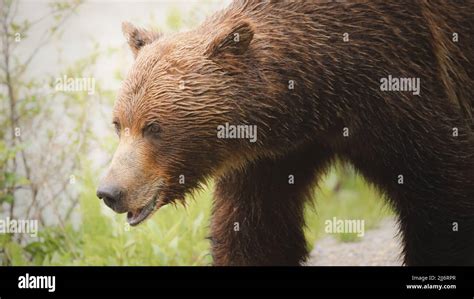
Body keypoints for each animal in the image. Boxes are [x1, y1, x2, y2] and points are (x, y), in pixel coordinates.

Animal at [96, 0, 474, 268]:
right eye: (118, 124)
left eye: (154, 127)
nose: (110, 191)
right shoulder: (270, 155)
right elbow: (255, 231)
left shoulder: (400, 89)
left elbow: (443, 196)